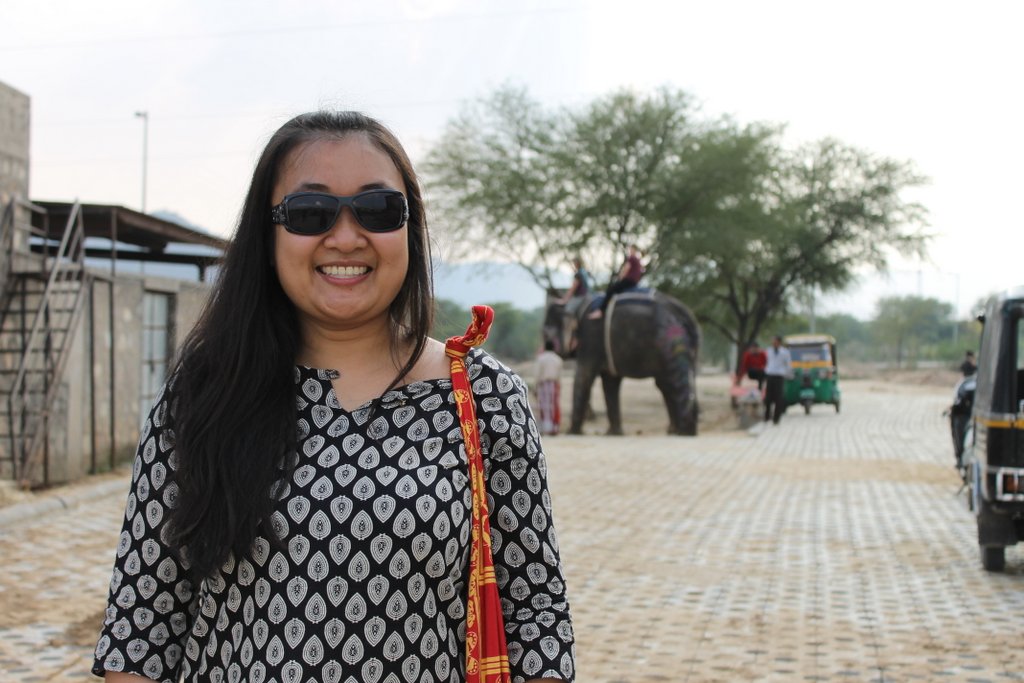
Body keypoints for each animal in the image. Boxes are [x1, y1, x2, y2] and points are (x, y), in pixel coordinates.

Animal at [544, 289, 701, 435]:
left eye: (546, 329)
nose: (548, 346)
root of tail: (687, 315)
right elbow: (610, 382)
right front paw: (613, 434)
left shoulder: (590, 335)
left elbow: (584, 376)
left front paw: (571, 433)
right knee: (669, 382)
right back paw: (678, 431)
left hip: (670, 338)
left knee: (673, 381)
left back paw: (684, 432)